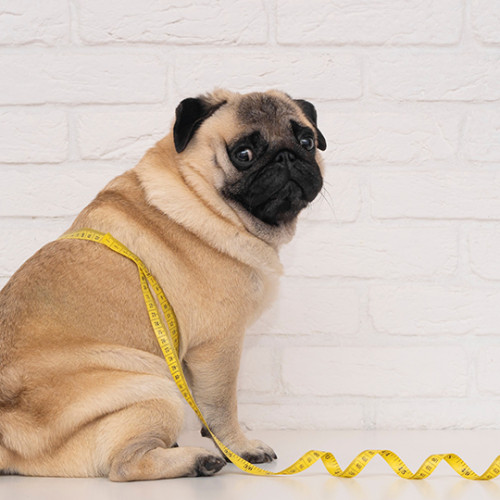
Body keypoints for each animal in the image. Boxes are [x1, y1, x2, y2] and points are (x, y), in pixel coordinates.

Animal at [0, 89, 326, 480]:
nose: (287, 156)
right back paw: (197, 461)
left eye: (307, 141)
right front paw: (240, 449)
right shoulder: (220, 344)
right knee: (123, 466)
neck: (200, 195)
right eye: (243, 154)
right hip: (156, 383)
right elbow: (222, 408)